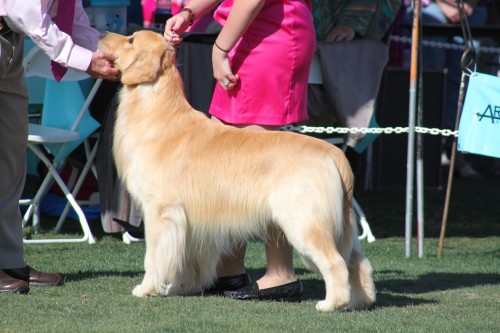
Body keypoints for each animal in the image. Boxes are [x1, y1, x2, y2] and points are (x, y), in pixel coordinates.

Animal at [99, 30, 376, 312]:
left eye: (131, 40)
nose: (103, 33)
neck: (157, 114)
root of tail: (336, 154)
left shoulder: (161, 212)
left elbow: (153, 257)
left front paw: (148, 288)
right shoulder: (189, 222)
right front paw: (184, 287)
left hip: (305, 221)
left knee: (336, 262)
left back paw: (331, 303)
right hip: (342, 226)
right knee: (358, 262)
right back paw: (360, 301)